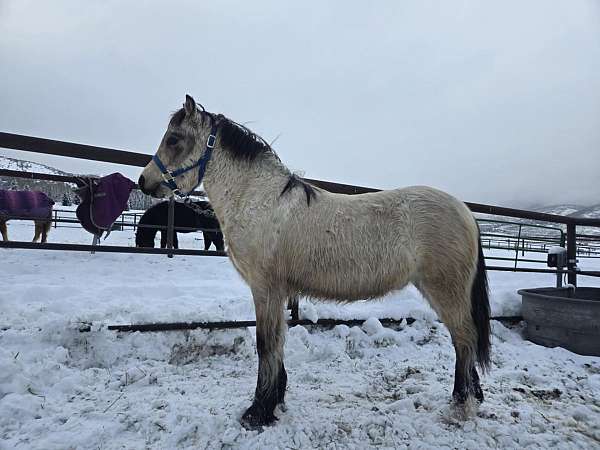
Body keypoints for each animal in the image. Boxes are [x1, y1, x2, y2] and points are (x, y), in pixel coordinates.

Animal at [141, 96, 492, 428]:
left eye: (174, 138)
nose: (144, 181)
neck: (259, 201)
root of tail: (465, 212)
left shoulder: (265, 288)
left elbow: (265, 344)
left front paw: (258, 412)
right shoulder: (278, 292)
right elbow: (278, 343)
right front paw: (276, 401)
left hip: (445, 290)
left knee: (464, 338)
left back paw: (461, 404)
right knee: (463, 340)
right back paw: (470, 396)